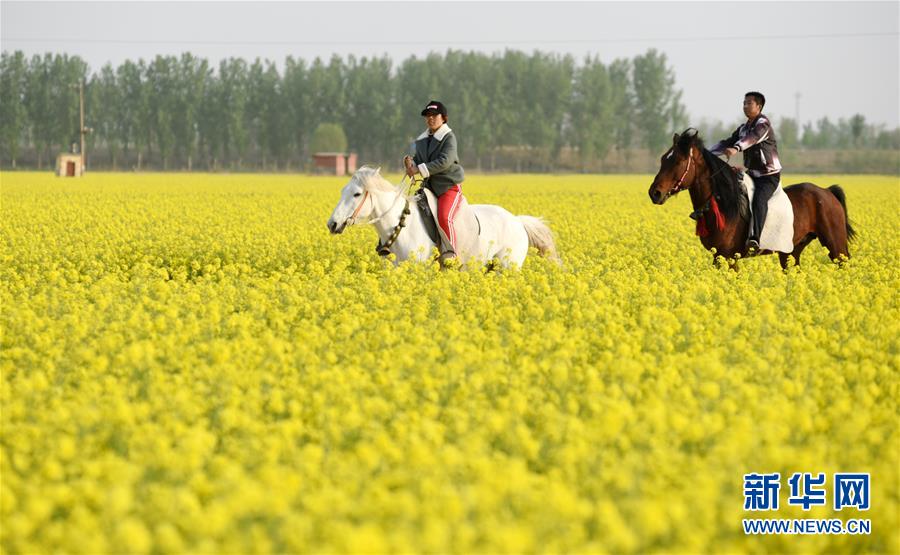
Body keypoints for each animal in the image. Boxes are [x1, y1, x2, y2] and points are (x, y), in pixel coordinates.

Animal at [328, 165, 556, 270]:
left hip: (508, 266)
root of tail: (518, 221)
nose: (332, 224)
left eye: (357, 194)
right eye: (342, 191)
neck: (400, 227)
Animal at [652, 130, 856, 270]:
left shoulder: (729, 257)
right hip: (791, 251)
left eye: (677, 161)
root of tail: (827, 192)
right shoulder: (717, 257)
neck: (722, 202)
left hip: (836, 246)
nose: (654, 193)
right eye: (662, 159)